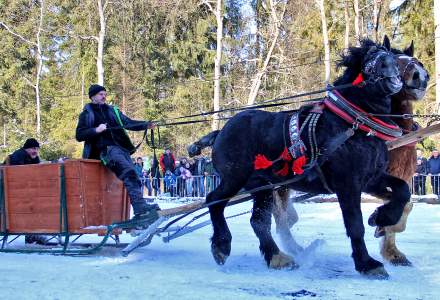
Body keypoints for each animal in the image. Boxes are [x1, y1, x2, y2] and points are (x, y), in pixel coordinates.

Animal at [189, 38, 410, 278]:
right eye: (369, 59)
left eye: (388, 53)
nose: (389, 64)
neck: (354, 124)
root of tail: (221, 131)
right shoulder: (348, 184)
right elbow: (355, 225)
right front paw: (367, 263)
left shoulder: (371, 178)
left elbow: (403, 190)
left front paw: (382, 218)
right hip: (234, 178)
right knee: (214, 201)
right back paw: (221, 245)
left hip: (262, 185)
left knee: (258, 221)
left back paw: (277, 257)